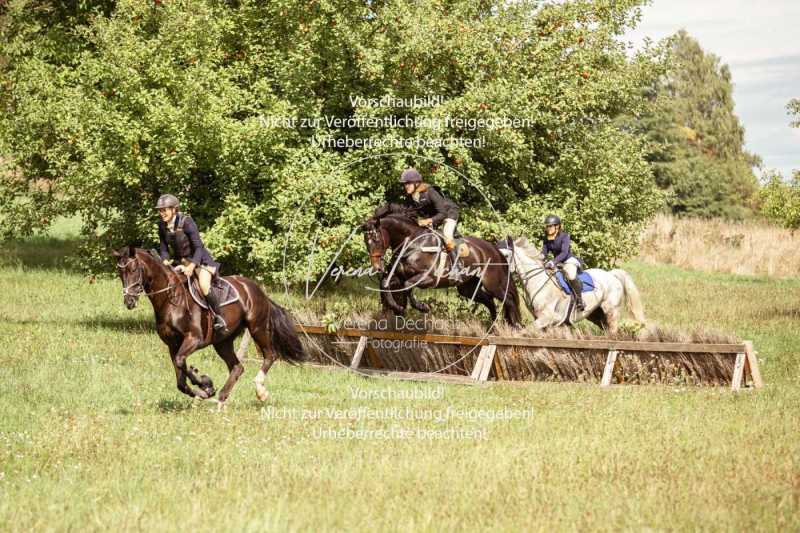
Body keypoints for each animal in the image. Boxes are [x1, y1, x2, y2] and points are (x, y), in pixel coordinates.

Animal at [109, 246, 304, 408]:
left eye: (133, 270)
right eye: (120, 273)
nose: (129, 301)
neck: (171, 299)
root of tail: (257, 289)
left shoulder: (193, 339)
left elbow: (181, 363)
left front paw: (205, 383)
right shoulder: (172, 345)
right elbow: (180, 379)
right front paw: (205, 390)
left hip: (258, 327)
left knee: (270, 355)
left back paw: (260, 391)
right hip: (222, 341)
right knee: (237, 367)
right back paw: (221, 399)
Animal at [360, 205, 520, 326]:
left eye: (376, 239)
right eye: (366, 241)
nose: (377, 267)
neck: (413, 243)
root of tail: (493, 249)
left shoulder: (428, 277)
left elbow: (408, 285)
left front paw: (423, 307)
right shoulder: (399, 275)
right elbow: (385, 284)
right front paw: (398, 308)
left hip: (492, 283)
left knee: (508, 300)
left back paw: (515, 326)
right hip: (467, 287)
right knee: (489, 301)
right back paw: (493, 328)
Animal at [496, 237, 648, 332]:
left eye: (506, 256)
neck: (537, 280)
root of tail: (611, 274)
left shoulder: (547, 318)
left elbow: (525, 331)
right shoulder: (543, 320)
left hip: (611, 309)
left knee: (613, 329)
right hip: (595, 314)